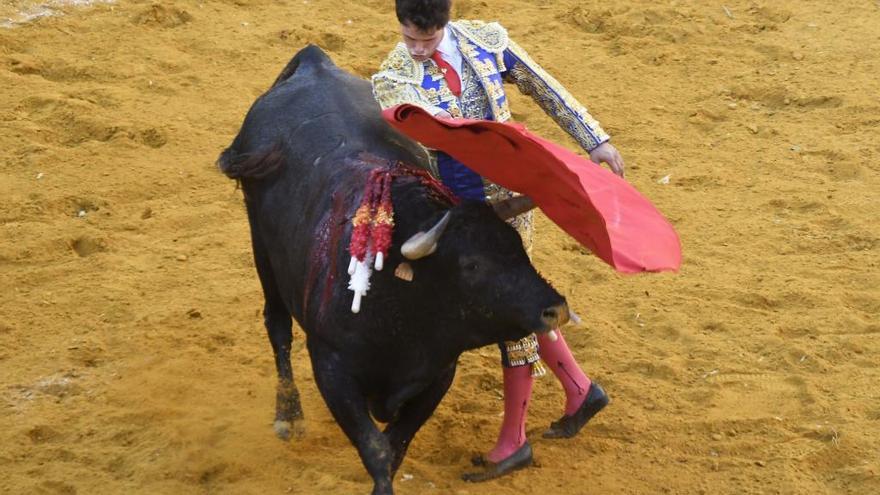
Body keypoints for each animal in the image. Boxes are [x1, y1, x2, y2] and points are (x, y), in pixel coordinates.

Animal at [217, 44, 568, 494]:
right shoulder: (331, 366)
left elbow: (396, 443)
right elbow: (376, 449)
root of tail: (314, 63)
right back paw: (288, 417)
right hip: (259, 241)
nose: (554, 308)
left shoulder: (438, 372)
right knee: (277, 326)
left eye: (517, 247)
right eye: (471, 264)